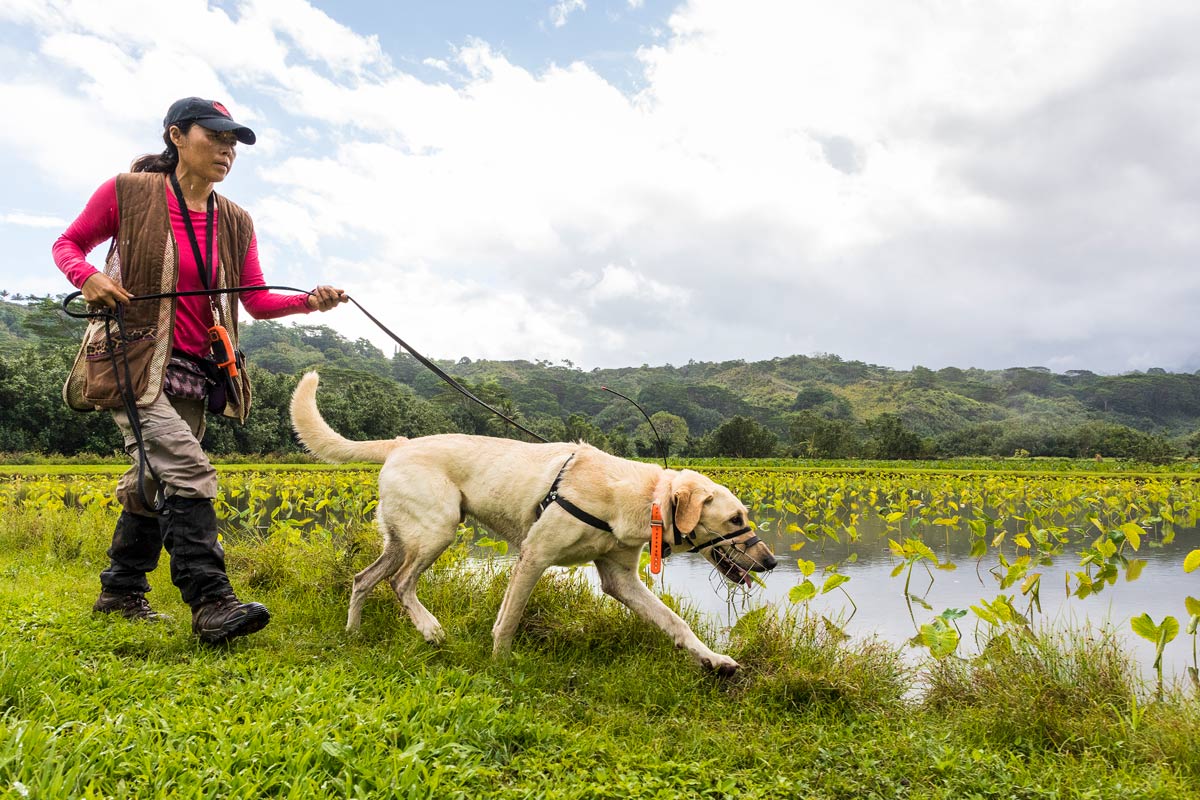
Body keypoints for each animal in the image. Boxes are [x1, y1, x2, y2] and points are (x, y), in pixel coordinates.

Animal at [290, 371, 777, 671]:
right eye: (735, 517)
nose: (771, 561)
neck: (642, 497)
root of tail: (401, 442)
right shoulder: (534, 557)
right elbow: (509, 619)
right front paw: (500, 663)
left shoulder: (620, 579)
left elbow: (674, 622)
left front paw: (715, 660)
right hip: (436, 532)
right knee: (400, 583)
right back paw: (429, 629)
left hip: (401, 539)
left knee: (363, 579)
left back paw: (353, 633)